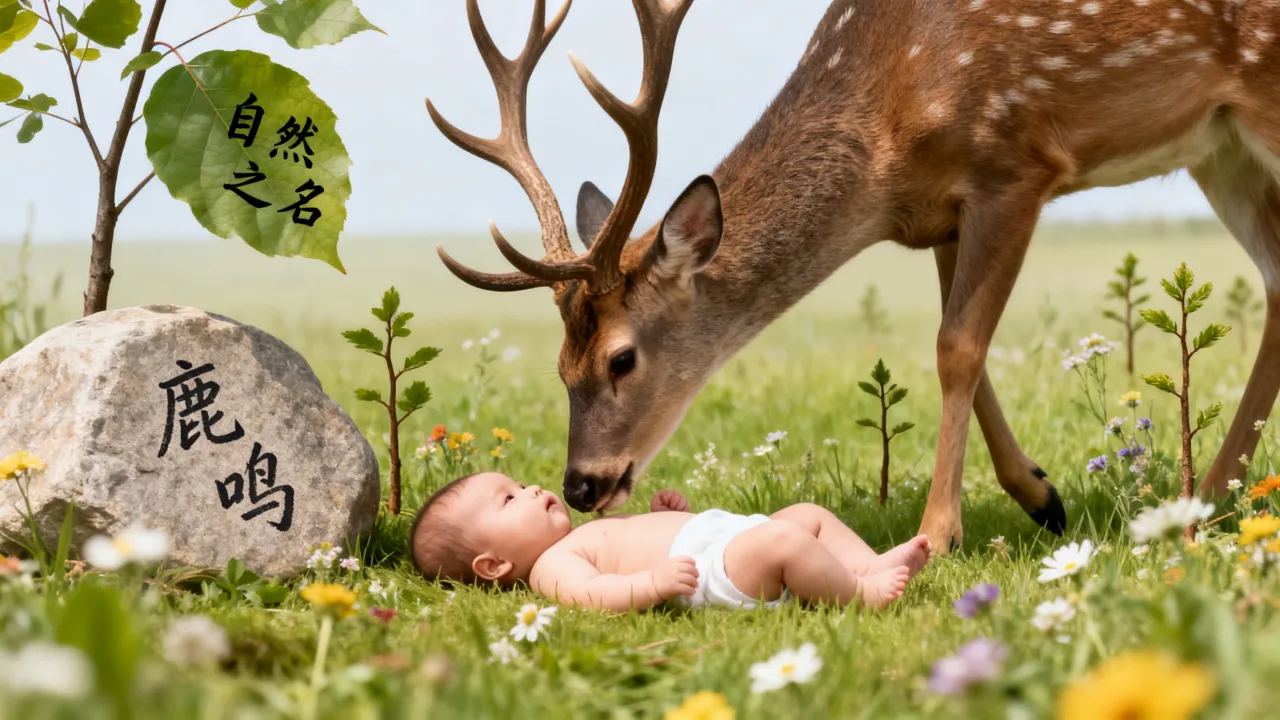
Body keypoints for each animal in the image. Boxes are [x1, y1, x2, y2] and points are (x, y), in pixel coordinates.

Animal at [425, 0, 1280, 553]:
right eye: (560, 367)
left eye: (622, 358)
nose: (581, 487)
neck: (886, 138)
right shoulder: (943, 213)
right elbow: (962, 348)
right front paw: (1041, 495)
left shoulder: (1013, 161)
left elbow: (957, 347)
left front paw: (937, 535)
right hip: (1221, 148)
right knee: (1275, 280)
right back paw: (1205, 502)